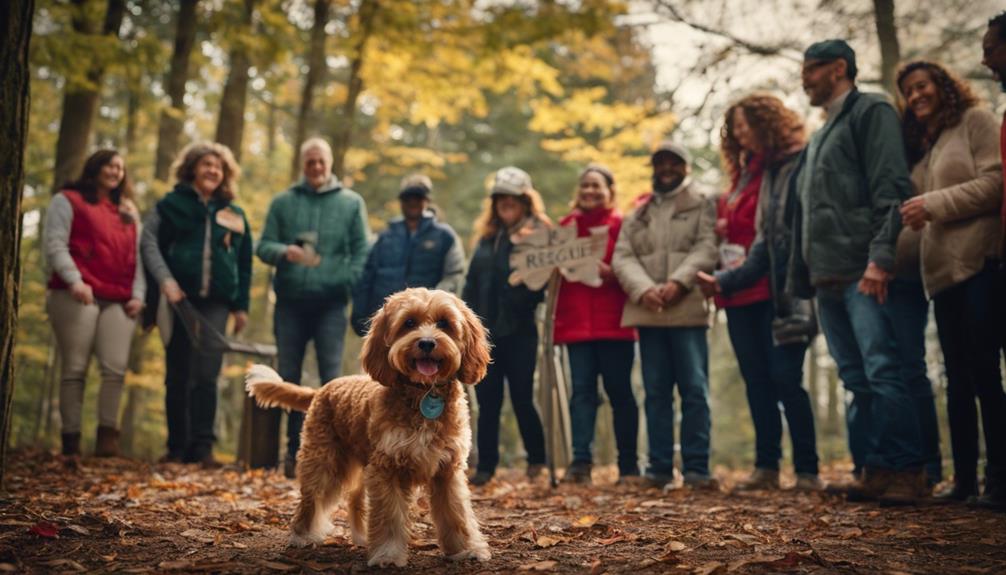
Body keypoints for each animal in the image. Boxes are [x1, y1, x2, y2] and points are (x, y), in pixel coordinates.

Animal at [245, 289, 492, 566]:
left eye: (444, 323)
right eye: (409, 323)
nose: (427, 343)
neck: (422, 393)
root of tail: (323, 388)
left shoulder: (447, 470)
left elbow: (457, 514)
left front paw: (466, 549)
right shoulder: (388, 468)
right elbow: (389, 517)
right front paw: (387, 554)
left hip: (361, 465)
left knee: (356, 501)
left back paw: (362, 537)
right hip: (324, 463)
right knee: (312, 499)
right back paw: (302, 535)